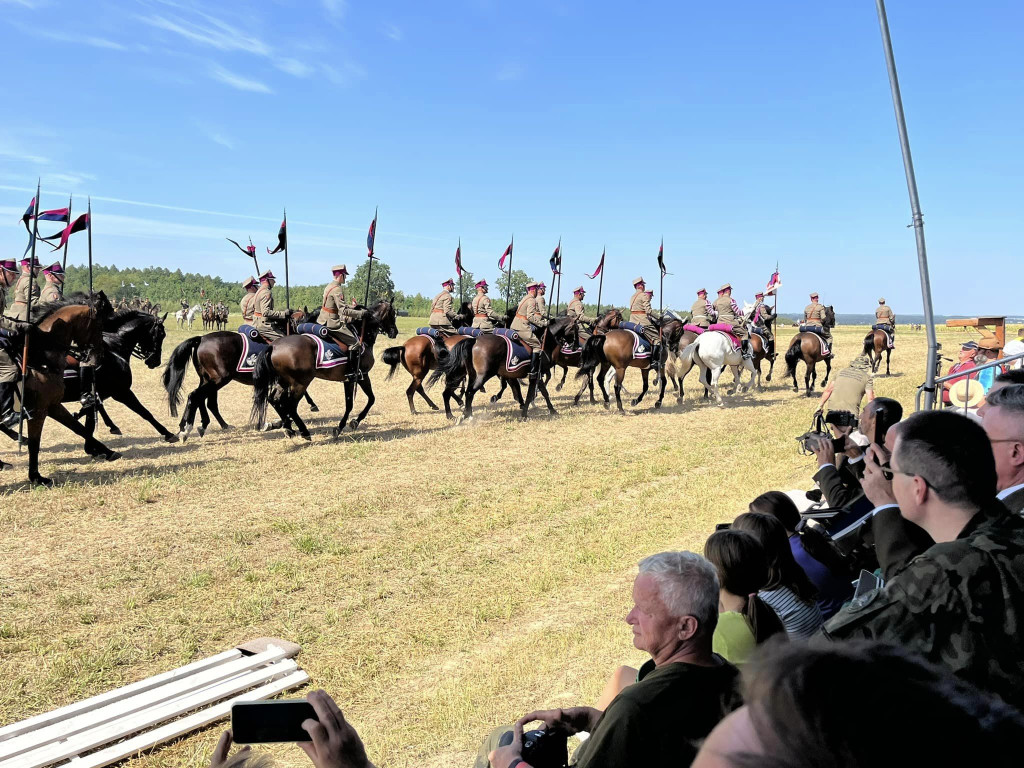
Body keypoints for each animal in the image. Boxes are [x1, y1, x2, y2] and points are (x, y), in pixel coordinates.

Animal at [0, 294, 120, 487]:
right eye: (100, 325)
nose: (100, 355)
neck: (41, 358)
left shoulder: (53, 406)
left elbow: (79, 428)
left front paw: (107, 451)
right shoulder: (39, 411)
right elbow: (35, 444)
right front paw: (36, 477)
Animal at [60, 307, 176, 438]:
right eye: (161, 334)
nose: (156, 361)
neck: (114, 348)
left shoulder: (103, 393)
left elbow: (95, 407)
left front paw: (111, 426)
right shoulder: (122, 392)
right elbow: (145, 412)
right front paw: (167, 433)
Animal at [162, 305, 319, 438]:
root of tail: (201, 339)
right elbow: (300, 393)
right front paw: (309, 407)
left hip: (208, 379)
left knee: (205, 400)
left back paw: (204, 425)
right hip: (219, 379)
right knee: (197, 396)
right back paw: (188, 428)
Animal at [249, 303, 401, 442]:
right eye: (393, 314)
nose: (395, 332)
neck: (361, 333)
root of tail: (273, 346)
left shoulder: (349, 379)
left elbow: (353, 402)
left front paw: (345, 425)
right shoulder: (361, 377)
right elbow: (368, 400)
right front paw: (350, 423)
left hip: (283, 381)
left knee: (274, 399)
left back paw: (288, 428)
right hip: (300, 383)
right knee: (290, 405)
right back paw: (304, 431)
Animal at [428, 313, 581, 421]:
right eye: (576, 328)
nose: (576, 346)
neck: (544, 341)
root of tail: (474, 340)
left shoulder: (526, 375)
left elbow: (534, 391)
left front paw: (546, 410)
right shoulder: (535, 374)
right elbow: (534, 392)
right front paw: (528, 412)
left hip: (468, 375)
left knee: (455, 392)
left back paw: (458, 413)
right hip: (482, 375)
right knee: (469, 392)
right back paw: (467, 415)